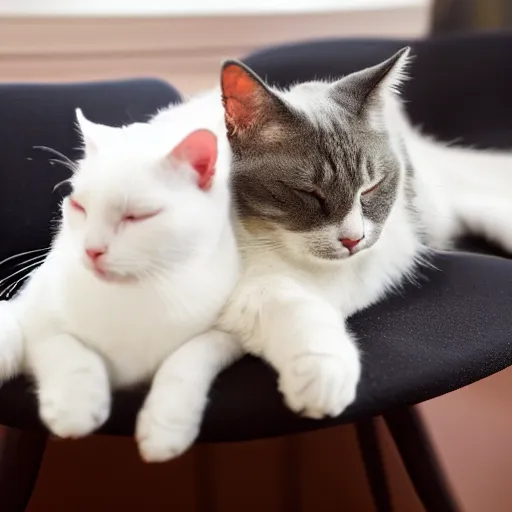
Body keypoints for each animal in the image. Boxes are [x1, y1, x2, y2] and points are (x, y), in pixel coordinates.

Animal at [0, 94, 240, 462]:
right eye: (79, 206)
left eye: (137, 217)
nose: (91, 250)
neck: (136, 295)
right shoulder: (33, 310)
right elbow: (63, 344)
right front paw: (75, 404)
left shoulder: (230, 331)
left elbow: (189, 358)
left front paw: (166, 423)